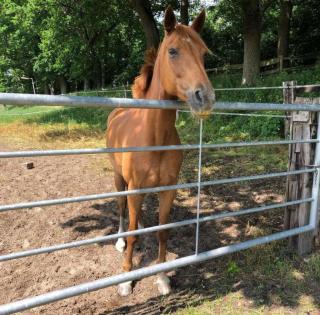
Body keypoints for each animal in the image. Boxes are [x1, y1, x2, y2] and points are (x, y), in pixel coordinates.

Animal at [107, 8, 215, 298]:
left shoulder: (168, 189)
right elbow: (132, 232)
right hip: (119, 179)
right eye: (173, 51)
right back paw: (119, 241)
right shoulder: (134, 188)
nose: (205, 97)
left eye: (203, 53)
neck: (153, 138)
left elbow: (163, 232)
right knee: (122, 208)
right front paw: (125, 280)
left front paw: (163, 278)